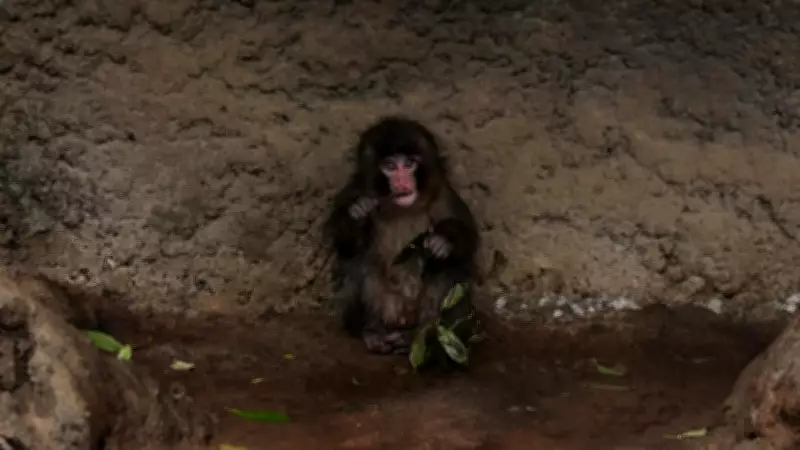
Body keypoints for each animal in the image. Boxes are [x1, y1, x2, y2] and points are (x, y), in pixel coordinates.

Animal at [324, 116, 481, 361]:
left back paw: (421, 335)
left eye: (408, 164)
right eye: (390, 167)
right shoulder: (354, 190)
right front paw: (358, 213)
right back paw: (372, 331)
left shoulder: (444, 195)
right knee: (361, 260)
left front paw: (443, 241)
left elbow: (467, 241)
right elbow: (347, 245)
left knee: (448, 269)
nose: (402, 182)